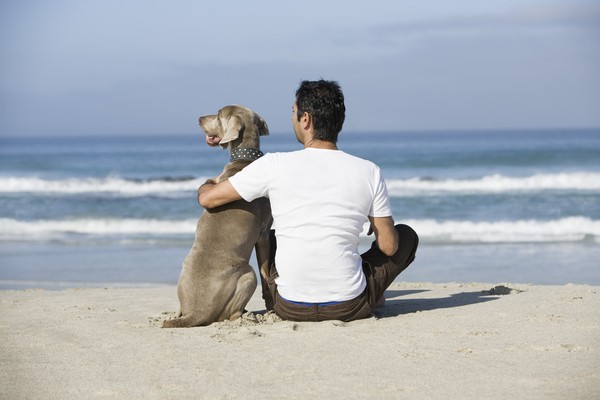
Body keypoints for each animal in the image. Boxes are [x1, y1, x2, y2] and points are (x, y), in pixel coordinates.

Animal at [164, 105, 276, 328]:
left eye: (217, 115)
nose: (199, 118)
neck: (245, 159)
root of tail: (195, 314)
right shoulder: (263, 234)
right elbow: (265, 272)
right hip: (248, 274)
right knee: (233, 314)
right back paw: (248, 315)